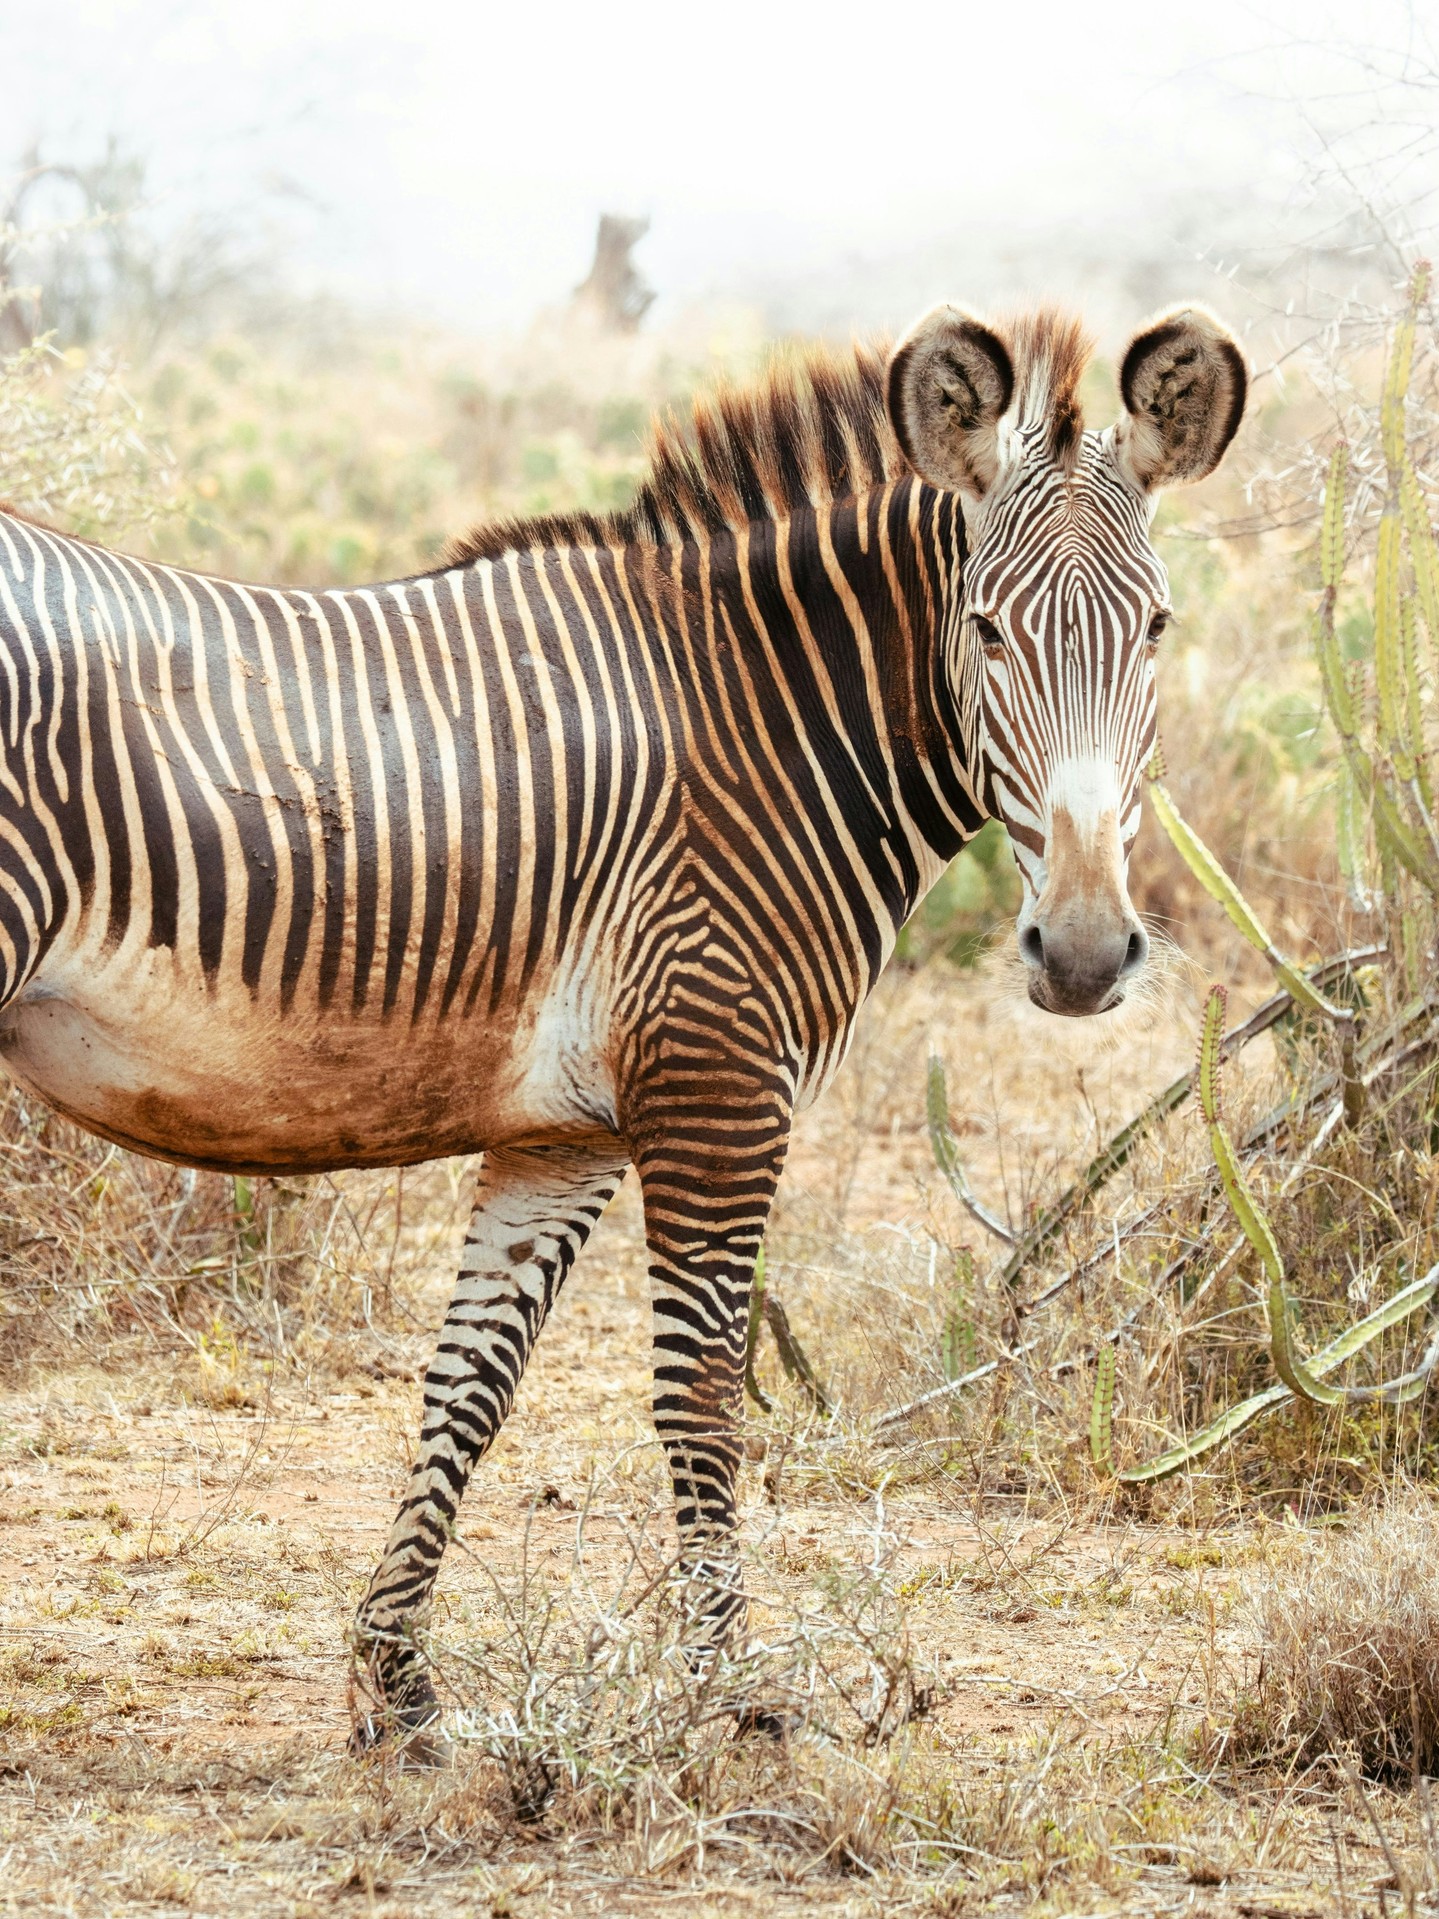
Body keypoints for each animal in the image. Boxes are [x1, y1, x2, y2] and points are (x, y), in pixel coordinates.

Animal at [0, 300, 1246, 1746]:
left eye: (1156, 627)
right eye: (984, 630)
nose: (1086, 952)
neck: (757, 724)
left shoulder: (566, 1135)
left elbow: (470, 1385)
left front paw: (396, 1683)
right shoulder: (717, 1085)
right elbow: (698, 1392)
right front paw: (728, 1697)